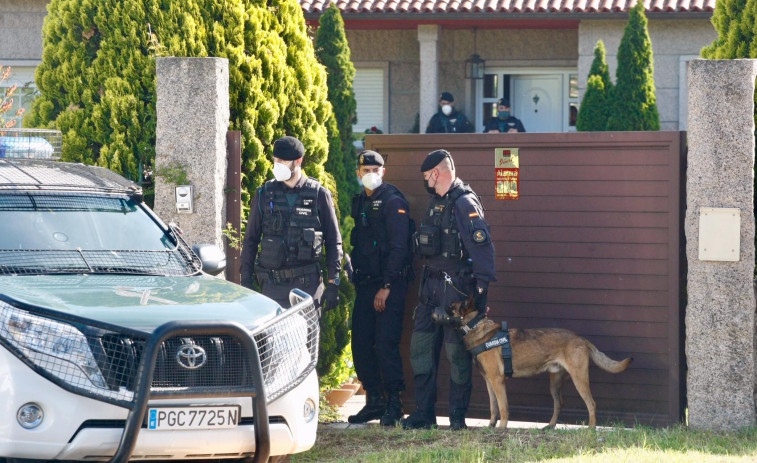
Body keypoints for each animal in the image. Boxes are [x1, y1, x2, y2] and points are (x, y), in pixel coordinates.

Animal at [446, 300, 636, 430]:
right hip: (554, 384)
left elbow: (503, 407)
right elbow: (493, 407)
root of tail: (581, 339)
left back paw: (591, 429)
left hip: (579, 379)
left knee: (592, 404)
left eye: (451, 307)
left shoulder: (498, 381)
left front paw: (502, 428)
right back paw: (550, 426)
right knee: (559, 403)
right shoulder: (489, 382)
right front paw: (491, 426)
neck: (476, 327)